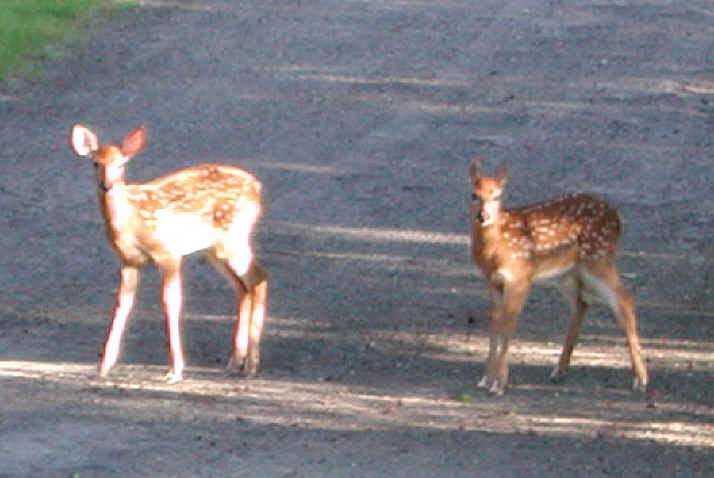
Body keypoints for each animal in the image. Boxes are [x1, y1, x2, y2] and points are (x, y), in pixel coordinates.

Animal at [69, 124, 268, 383]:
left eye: (121, 164)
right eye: (95, 163)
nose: (106, 185)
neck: (131, 221)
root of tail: (257, 187)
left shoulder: (168, 253)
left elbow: (171, 302)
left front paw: (175, 371)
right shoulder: (128, 260)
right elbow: (123, 303)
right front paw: (104, 366)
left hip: (233, 238)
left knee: (258, 278)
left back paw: (252, 365)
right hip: (215, 248)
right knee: (242, 286)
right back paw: (235, 362)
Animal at [468, 159, 648, 395]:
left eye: (497, 196)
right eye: (474, 195)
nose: (483, 216)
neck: (495, 250)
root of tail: (617, 218)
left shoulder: (520, 276)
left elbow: (508, 326)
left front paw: (499, 383)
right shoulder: (493, 281)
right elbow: (495, 326)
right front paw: (485, 379)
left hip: (598, 258)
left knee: (625, 300)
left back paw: (641, 379)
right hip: (568, 272)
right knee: (582, 304)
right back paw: (559, 371)